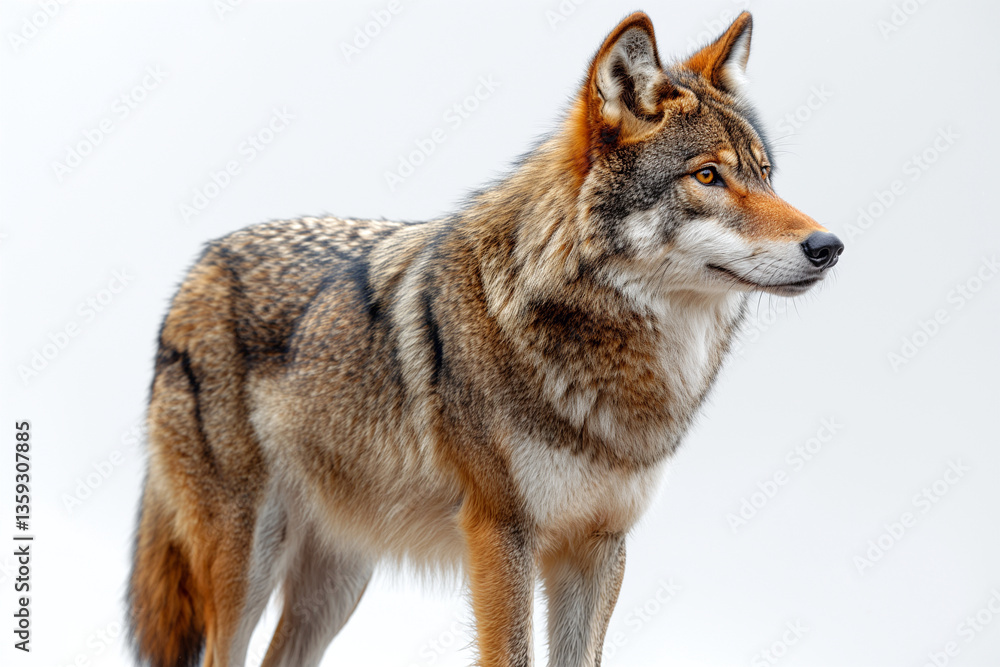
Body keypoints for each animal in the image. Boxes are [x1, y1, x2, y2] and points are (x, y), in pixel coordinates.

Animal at [128, 10, 842, 667]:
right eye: (707, 177)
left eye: (765, 174)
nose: (829, 246)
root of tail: (197, 268)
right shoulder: (501, 536)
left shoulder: (599, 546)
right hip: (248, 564)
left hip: (338, 582)